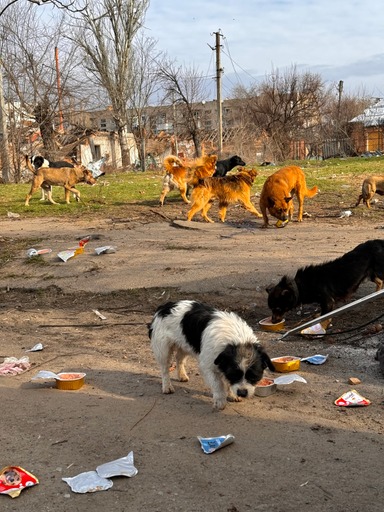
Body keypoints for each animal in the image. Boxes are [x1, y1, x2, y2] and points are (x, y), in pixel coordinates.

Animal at [148, 302, 276, 410]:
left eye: (253, 376)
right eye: (234, 375)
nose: (242, 393)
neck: (236, 340)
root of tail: (164, 306)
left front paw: (231, 394)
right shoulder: (208, 366)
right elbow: (218, 384)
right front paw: (220, 401)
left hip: (184, 344)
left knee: (179, 359)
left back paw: (182, 375)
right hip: (163, 349)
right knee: (165, 368)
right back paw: (167, 386)